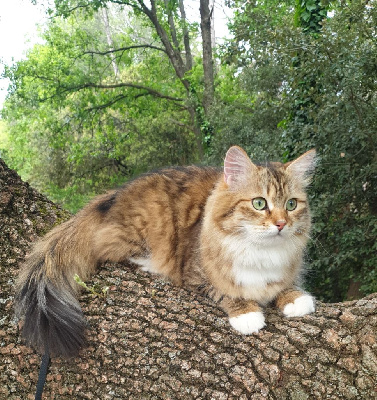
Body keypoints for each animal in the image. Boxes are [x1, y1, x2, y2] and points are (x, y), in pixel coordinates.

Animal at [13, 146, 314, 356]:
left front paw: (296, 298)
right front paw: (247, 314)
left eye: (291, 204)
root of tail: (110, 197)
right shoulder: (196, 276)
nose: (281, 224)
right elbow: (226, 291)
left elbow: (285, 285)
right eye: (259, 203)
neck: (261, 252)